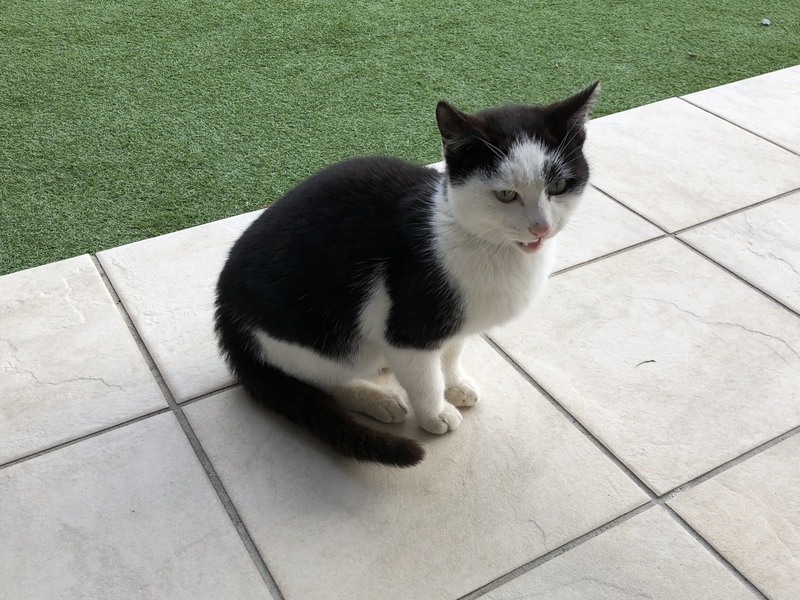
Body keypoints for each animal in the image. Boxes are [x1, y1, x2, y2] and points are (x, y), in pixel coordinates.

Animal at [215, 82, 598, 467]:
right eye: (506, 194)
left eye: (559, 186)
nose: (541, 228)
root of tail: (225, 311)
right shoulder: (411, 327)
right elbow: (424, 379)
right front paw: (435, 414)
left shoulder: (456, 319)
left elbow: (452, 351)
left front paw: (455, 384)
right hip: (321, 340)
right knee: (321, 379)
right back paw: (378, 399)